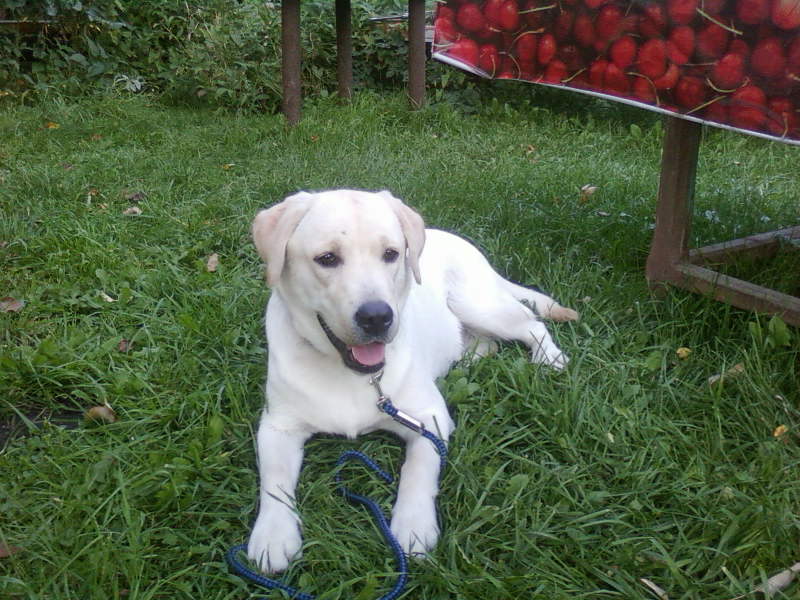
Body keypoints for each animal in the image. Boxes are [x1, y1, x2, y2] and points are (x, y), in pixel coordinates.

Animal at [247, 189, 578, 573]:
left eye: (390, 254)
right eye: (327, 258)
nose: (377, 317)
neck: (351, 372)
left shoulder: (428, 418)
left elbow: (417, 472)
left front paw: (413, 526)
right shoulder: (277, 426)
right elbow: (274, 481)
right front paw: (273, 534)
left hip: (479, 305)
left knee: (530, 323)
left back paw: (549, 358)